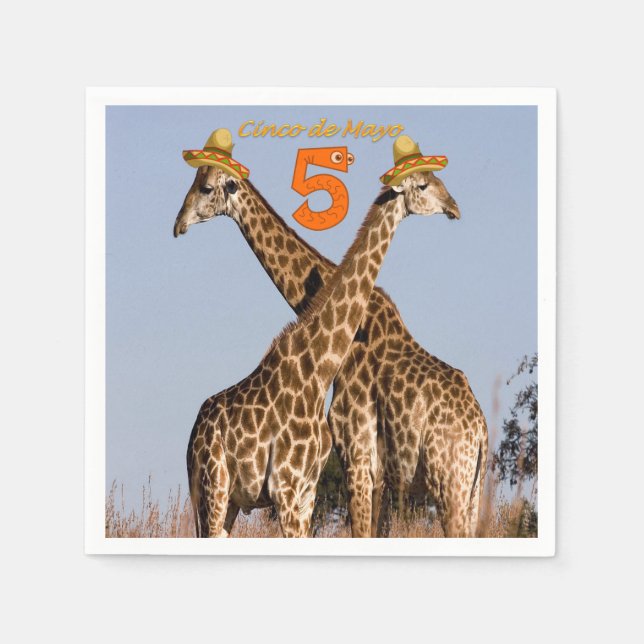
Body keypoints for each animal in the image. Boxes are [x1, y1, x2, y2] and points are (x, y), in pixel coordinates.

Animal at [175, 130, 488, 537]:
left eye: (206, 187)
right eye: (424, 183)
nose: (178, 223)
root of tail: (481, 431)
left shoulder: (350, 462)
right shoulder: (347, 472)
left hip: (452, 481)